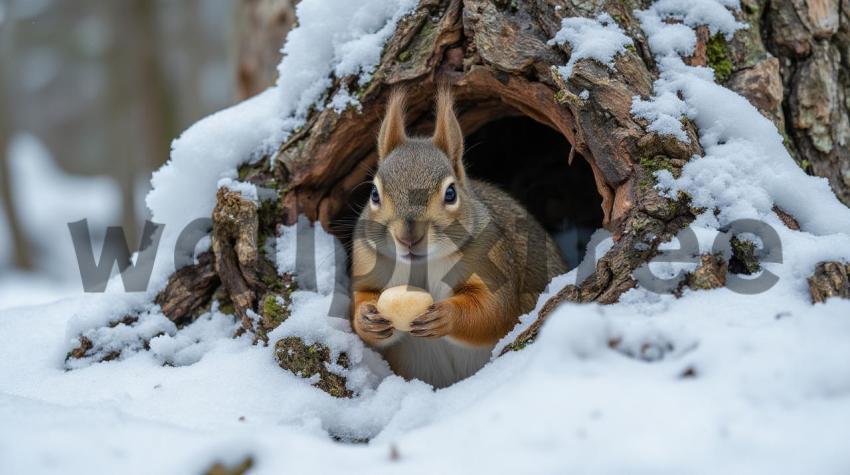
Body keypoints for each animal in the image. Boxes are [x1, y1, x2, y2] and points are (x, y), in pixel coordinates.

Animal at [348, 87, 568, 388]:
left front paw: (446, 316)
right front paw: (366, 317)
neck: (422, 265)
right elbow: (360, 302)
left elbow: (492, 310)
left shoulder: (492, 258)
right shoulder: (366, 260)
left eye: (451, 193)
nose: (408, 237)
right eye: (374, 194)